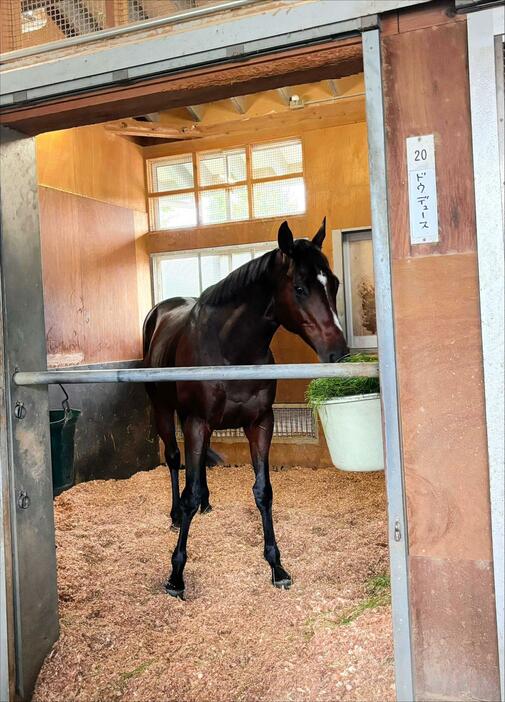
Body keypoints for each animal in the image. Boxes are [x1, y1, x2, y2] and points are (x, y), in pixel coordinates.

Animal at [142, 220, 346, 600]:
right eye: (300, 288)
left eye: (334, 283)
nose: (339, 352)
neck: (230, 348)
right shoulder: (197, 422)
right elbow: (188, 490)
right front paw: (176, 574)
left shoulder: (260, 423)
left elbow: (263, 492)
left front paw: (277, 567)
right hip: (164, 410)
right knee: (175, 460)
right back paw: (176, 515)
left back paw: (206, 503)